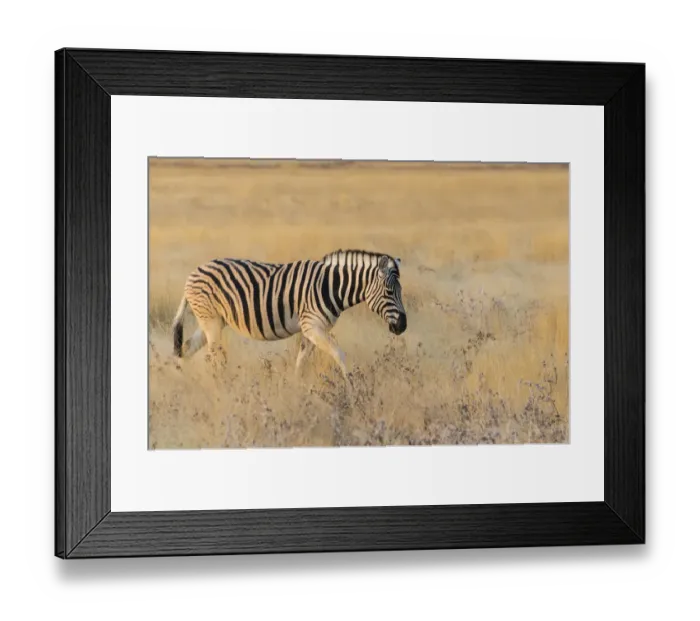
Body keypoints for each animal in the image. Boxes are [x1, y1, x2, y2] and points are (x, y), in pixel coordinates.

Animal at [171, 249, 407, 387]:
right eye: (389, 292)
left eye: (401, 291)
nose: (403, 326)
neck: (331, 286)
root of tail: (191, 275)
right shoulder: (312, 325)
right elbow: (339, 354)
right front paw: (351, 387)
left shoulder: (312, 329)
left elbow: (301, 360)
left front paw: (296, 387)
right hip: (210, 320)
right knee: (213, 357)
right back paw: (221, 386)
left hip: (211, 321)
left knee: (186, 348)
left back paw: (184, 383)